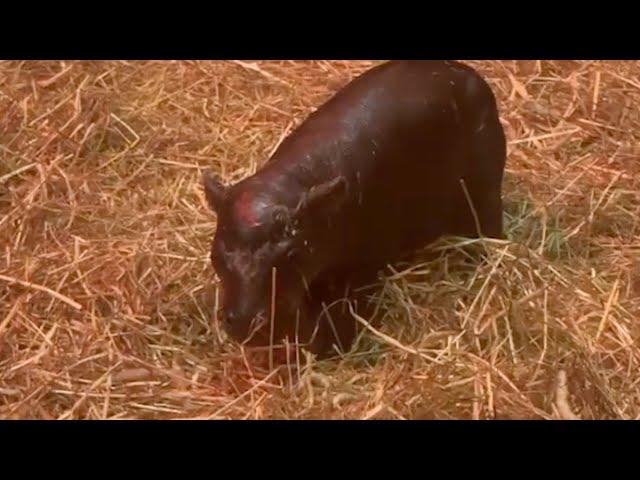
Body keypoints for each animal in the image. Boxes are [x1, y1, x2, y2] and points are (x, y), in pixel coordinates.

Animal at [204, 60, 504, 356]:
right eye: (217, 253)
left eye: (290, 254)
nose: (244, 322)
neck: (289, 181)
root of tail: (470, 74)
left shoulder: (360, 268)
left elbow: (342, 311)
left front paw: (329, 348)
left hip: (485, 194)